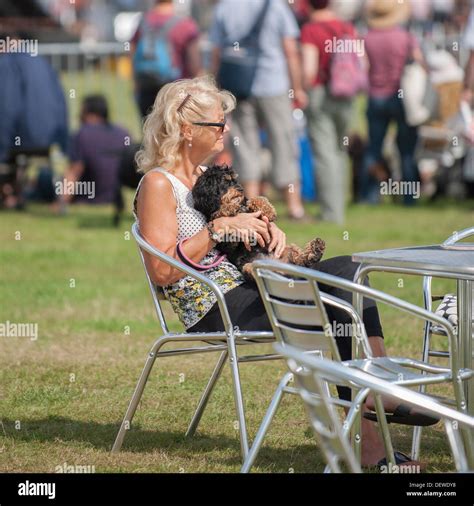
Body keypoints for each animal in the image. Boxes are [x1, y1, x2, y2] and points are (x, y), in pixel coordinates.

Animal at [191, 164, 324, 280]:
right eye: (225, 181)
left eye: (235, 180)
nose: (241, 189)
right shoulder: (226, 244)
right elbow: (219, 215)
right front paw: (228, 208)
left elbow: (257, 199)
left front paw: (269, 210)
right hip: (247, 266)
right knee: (253, 270)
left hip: (288, 251)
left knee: (303, 261)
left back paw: (316, 249)